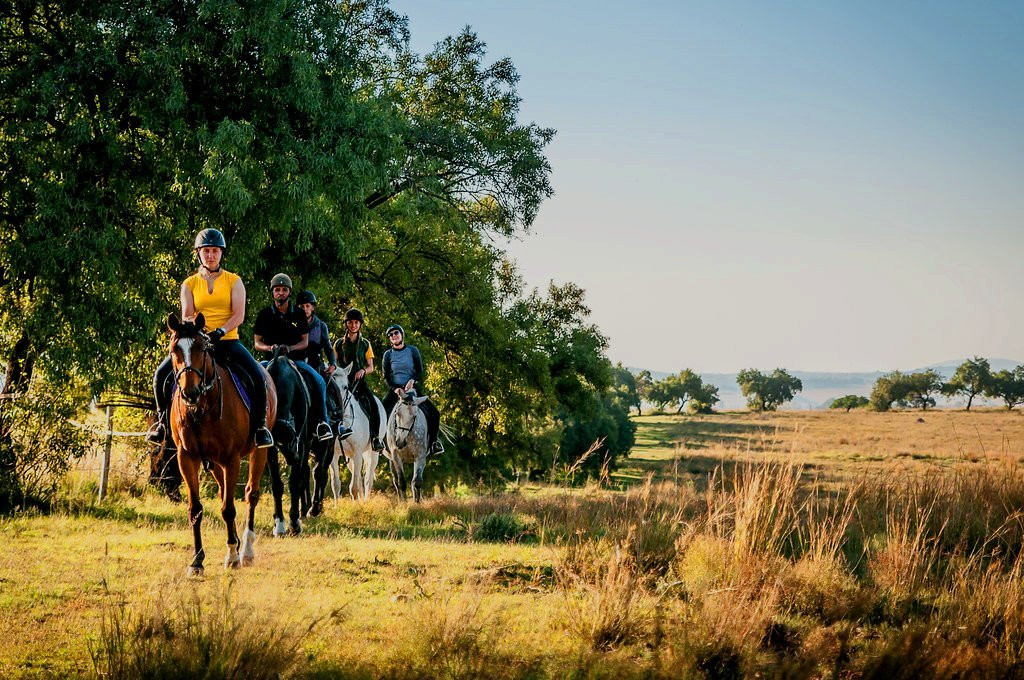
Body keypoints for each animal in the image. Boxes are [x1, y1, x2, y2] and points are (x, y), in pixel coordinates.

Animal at [165, 311, 276, 573]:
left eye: (201, 348)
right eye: (174, 349)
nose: (190, 393)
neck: (201, 409)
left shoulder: (231, 459)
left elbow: (228, 508)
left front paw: (233, 556)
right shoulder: (187, 458)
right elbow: (196, 509)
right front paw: (197, 561)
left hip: (258, 452)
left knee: (250, 494)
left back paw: (245, 550)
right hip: (214, 463)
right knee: (225, 493)